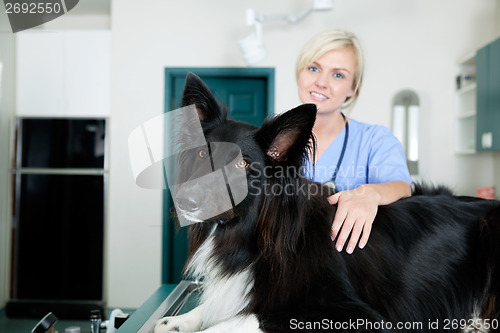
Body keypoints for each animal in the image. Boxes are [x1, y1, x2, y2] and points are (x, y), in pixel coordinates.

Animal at [154, 73, 498, 332]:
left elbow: (253, 317)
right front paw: (177, 321)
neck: (256, 235)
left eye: (243, 164)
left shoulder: (357, 315)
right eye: (202, 154)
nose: (185, 201)